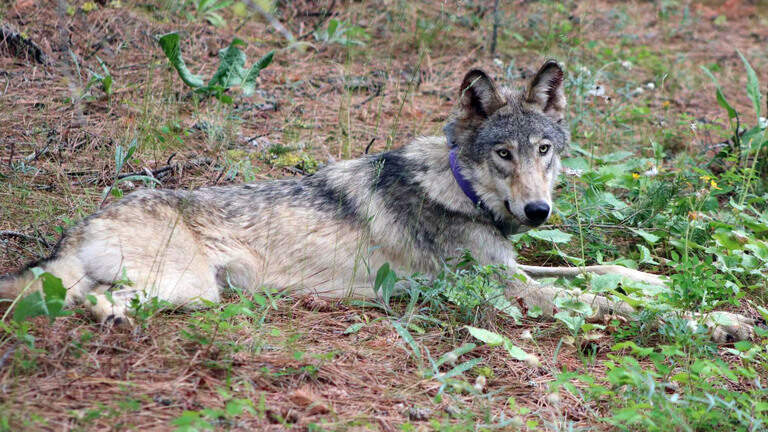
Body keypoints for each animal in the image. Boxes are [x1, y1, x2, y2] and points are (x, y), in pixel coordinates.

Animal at [0, 61, 755, 342]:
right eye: (503, 155)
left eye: (544, 150)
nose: (538, 213)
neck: (459, 189)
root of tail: (81, 225)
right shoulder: (507, 294)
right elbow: (604, 303)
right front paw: (718, 320)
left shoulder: (513, 269)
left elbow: (605, 273)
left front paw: (661, 282)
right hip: (188, 288)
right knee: (84, 302)